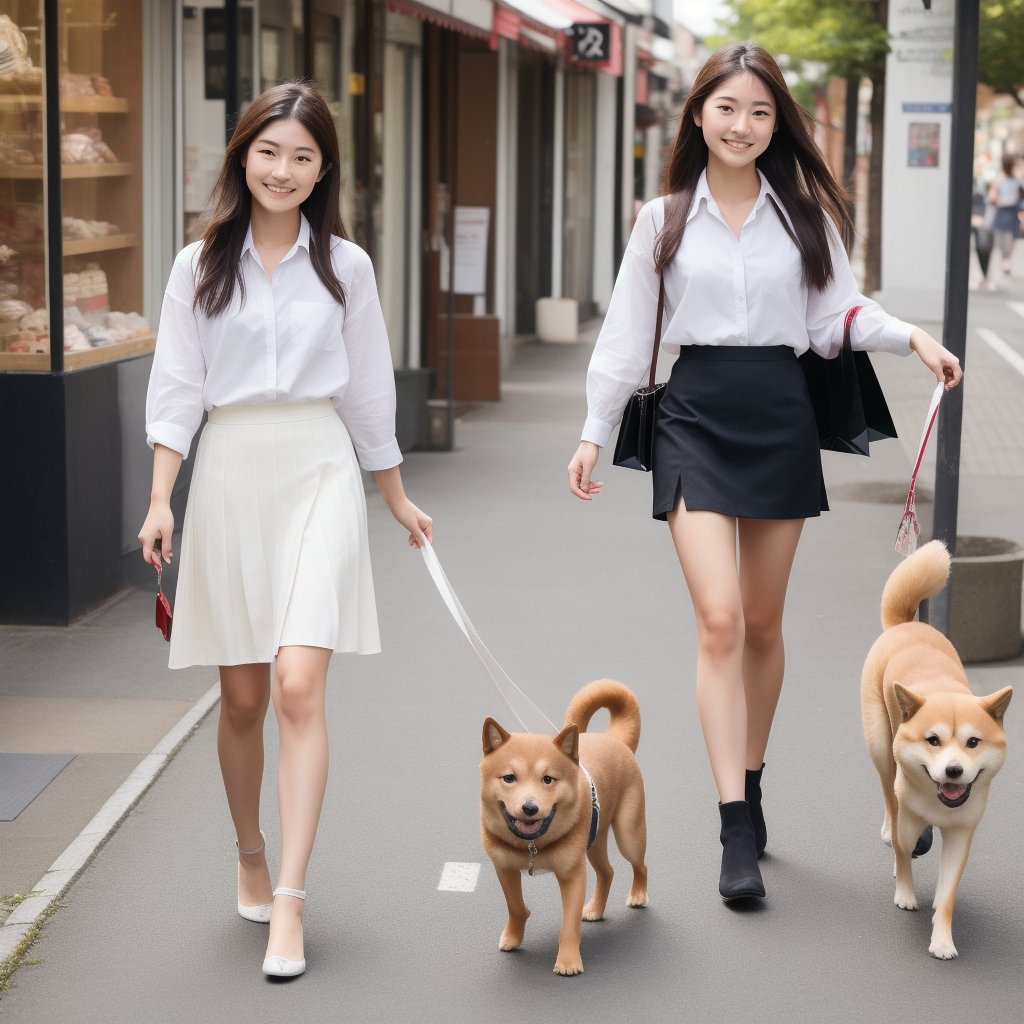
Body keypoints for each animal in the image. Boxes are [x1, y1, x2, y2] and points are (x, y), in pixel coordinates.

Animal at [479, 679, 647, 974]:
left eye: (548, 779)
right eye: (509, 778)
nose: (530, 808)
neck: (532, 845)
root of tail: (613, 738)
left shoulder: (572, 874)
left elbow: (569, 924)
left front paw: (568, 962)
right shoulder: (505, 869)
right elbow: (516, 907)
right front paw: (513, 937)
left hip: (629, 835)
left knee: (640, 866)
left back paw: (638, 894)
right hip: (594, 840)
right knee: (607, 872)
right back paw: (595, 909)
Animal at [860, 544, 1011, 958]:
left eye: (973, 742)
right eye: (933, 740)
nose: (954, 771)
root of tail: (906, 624)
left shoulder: (961, 835)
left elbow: (947, 895)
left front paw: (942, 940)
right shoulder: (909, 818)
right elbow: (903, 851)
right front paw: (905, 893)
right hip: (881, 750)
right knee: (887, 795)